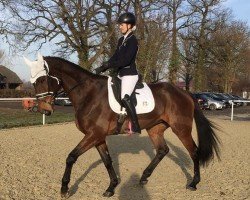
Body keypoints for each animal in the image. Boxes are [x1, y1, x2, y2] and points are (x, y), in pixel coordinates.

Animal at [23, 54, 219, 198]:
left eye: (42, 80)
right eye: (33, 82)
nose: (44, 110)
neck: (88, 93)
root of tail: (185, 93)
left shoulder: (93, 134)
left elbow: (71, 157)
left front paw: (64, 189)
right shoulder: (98, 137)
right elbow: (107, 161)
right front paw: (112, 187)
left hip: (181, 129)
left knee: (194, 152)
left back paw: (193, 183)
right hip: (155, 129)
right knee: (162, 150)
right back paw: (144, 177)